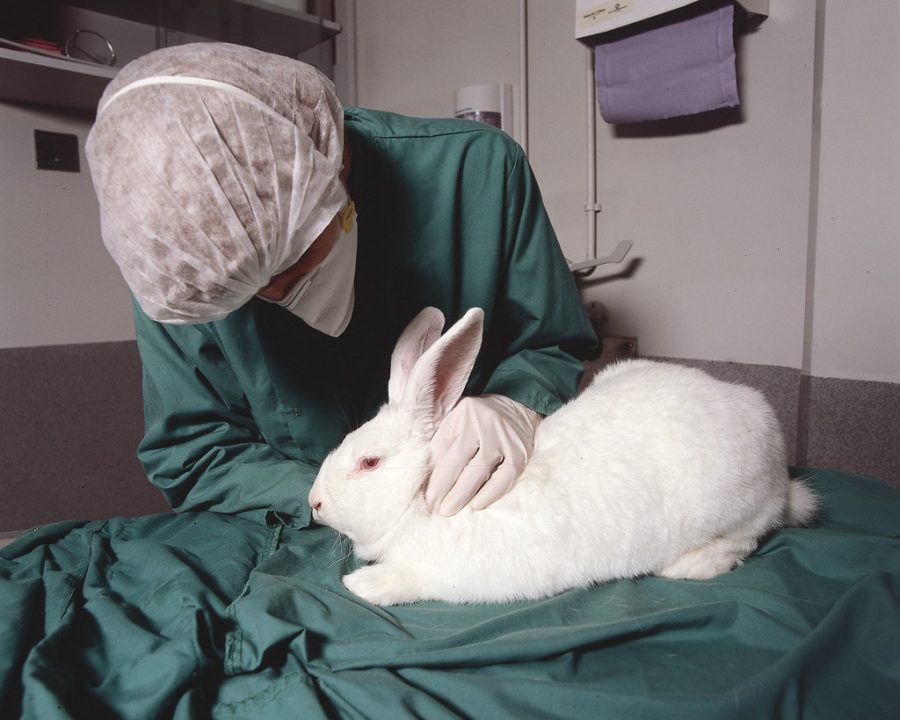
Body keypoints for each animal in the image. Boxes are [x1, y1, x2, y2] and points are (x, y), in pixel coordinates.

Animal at [308, 306, 816, 604]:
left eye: (369, 463)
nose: (313, 503)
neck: (421, 494)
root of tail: (780, 471)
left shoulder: (461, 574)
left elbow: (413, 579)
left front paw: (363, 584)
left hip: (731, 506)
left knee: (748, 538)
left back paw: (689, 565)